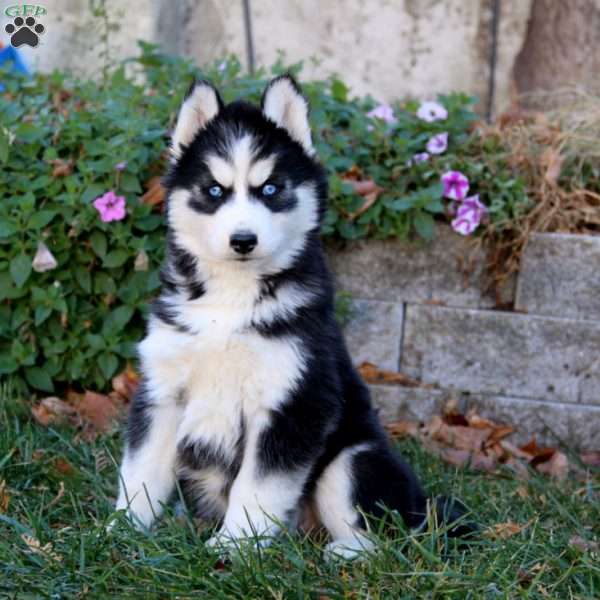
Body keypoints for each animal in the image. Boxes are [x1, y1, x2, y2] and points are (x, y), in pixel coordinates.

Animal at [116, 74, 468, 556]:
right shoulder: (162, 393)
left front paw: (234, 545)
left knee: (394, 536)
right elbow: (141, 471)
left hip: (354, 459)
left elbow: (256, 487)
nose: (243, 240)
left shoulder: (294, 401)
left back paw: (345, 551)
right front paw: (120, 530)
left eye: (270, 189)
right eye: (214, 190)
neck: (232, 301)